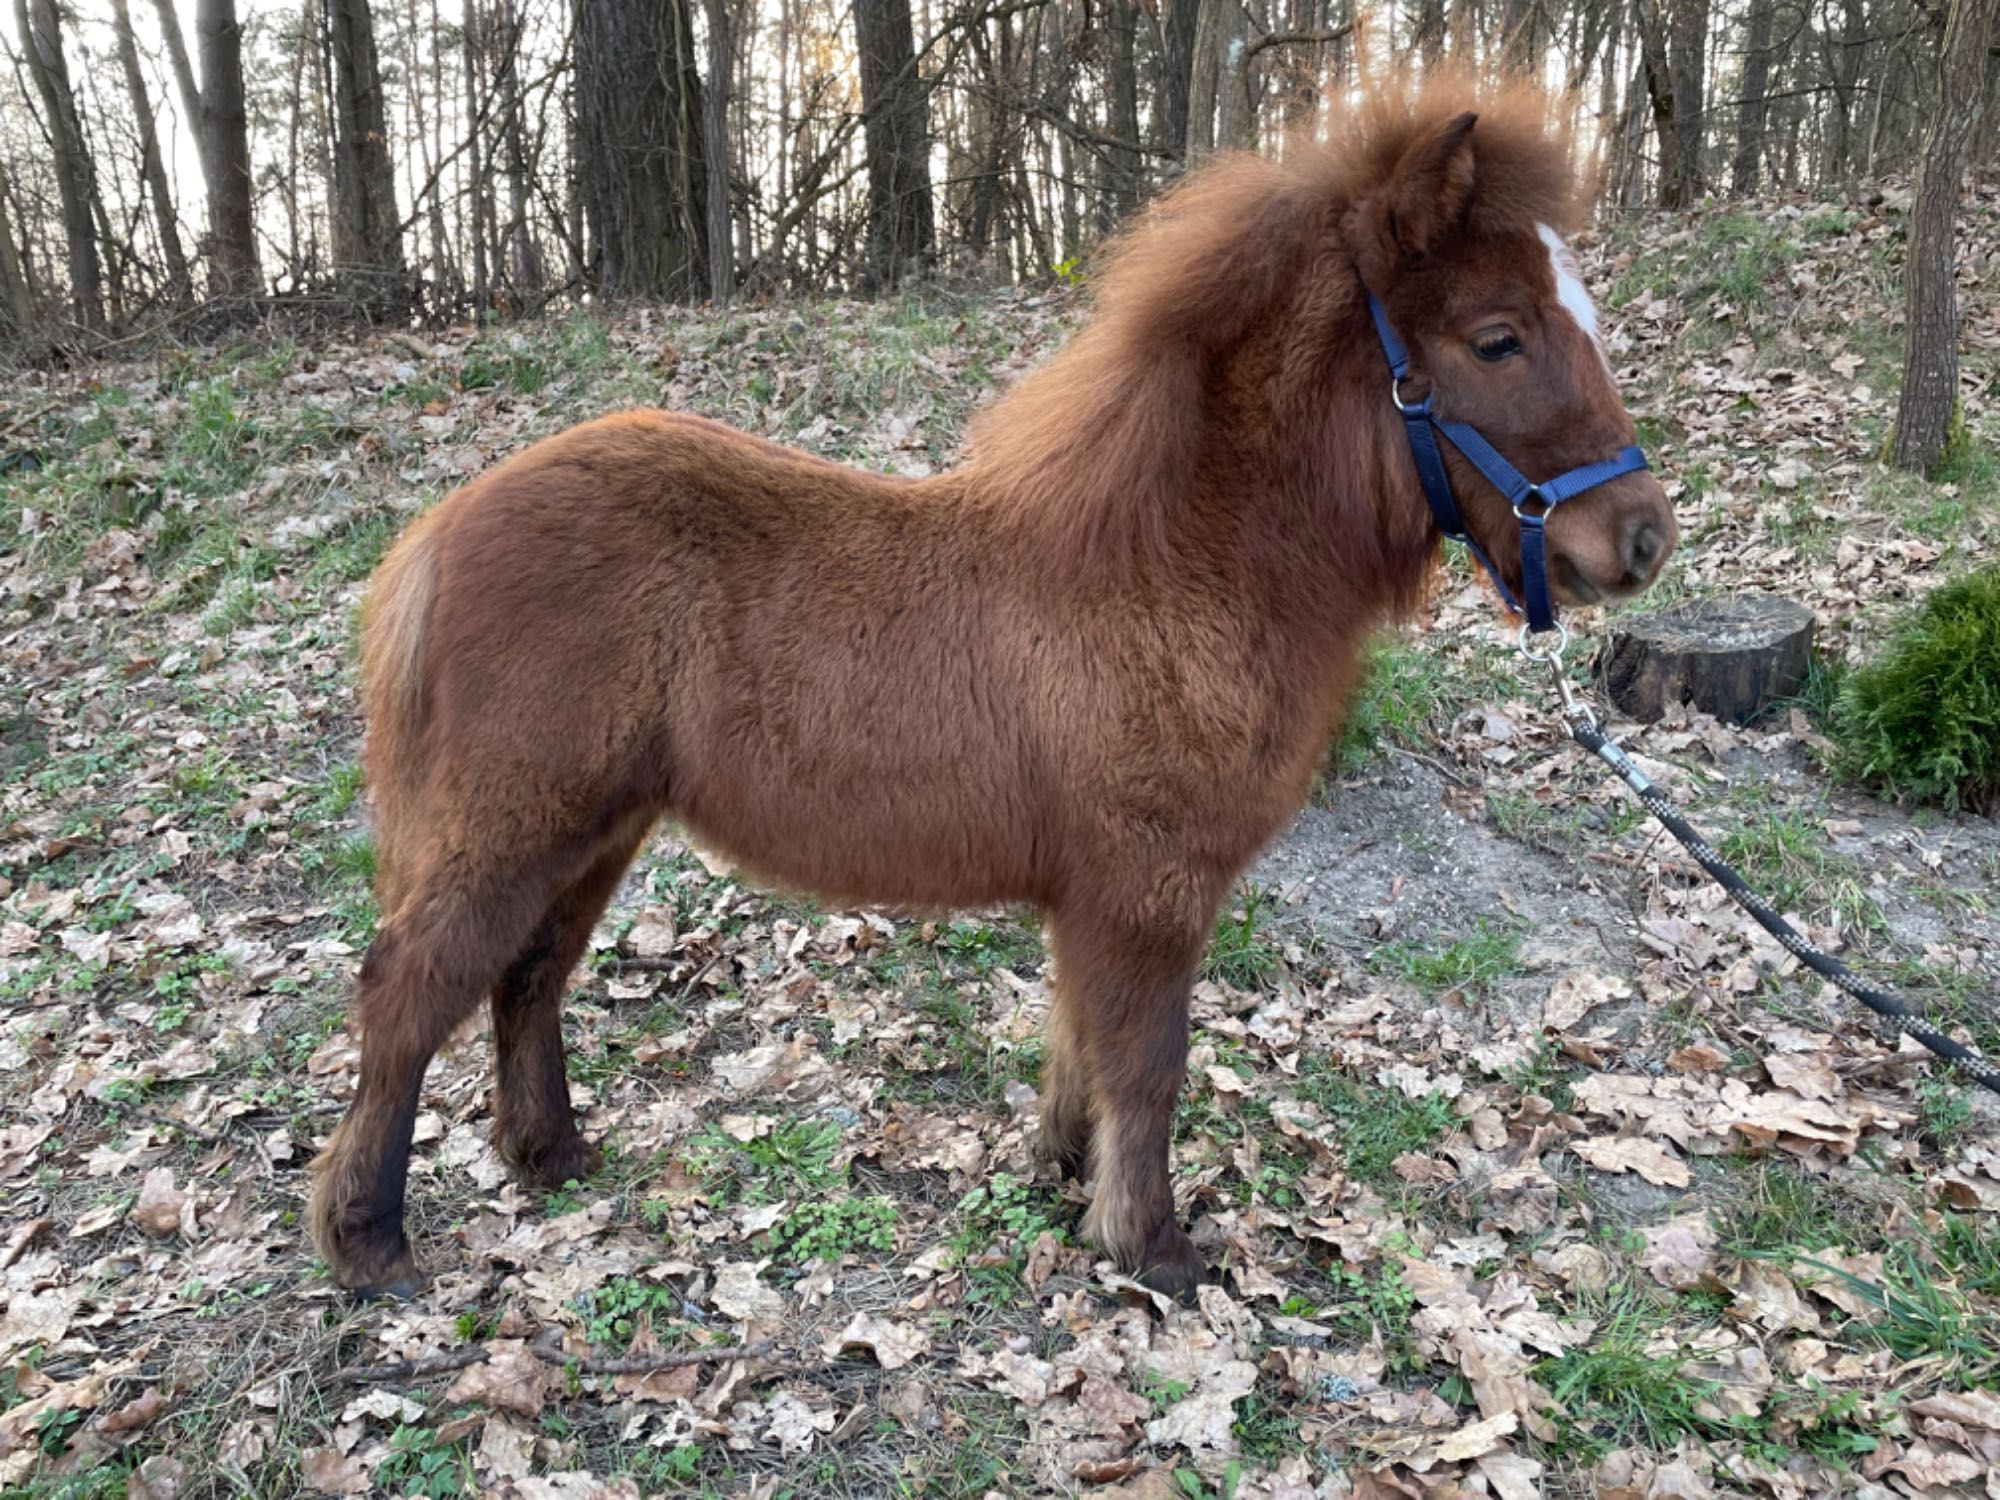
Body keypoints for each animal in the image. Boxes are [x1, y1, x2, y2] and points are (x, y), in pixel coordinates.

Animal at [308, 76, 1672, 1304]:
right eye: (1496, 336)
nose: (1641, 539)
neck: (1173, 564)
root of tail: (441, 528)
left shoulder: (1093, 894)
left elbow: (1079, 1039)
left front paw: (1061, 1170)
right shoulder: (1147, 885)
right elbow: (1148, 1062)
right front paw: (1151, 1248)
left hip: (594, 827)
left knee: (526, 977)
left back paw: (548, 1156)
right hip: (517, 821)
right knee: (407, 990)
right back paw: (369, 1241)